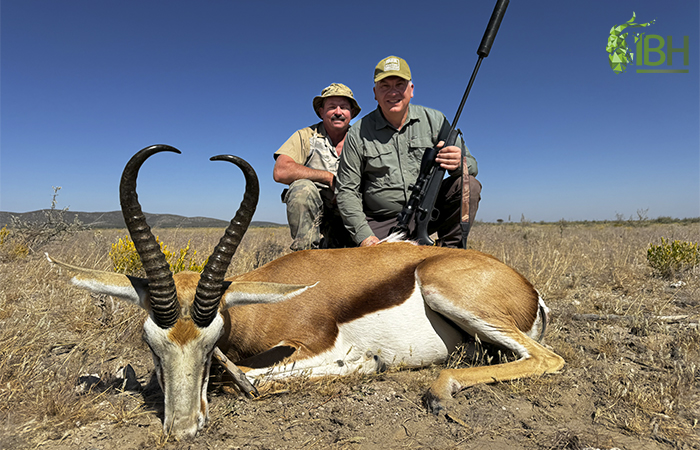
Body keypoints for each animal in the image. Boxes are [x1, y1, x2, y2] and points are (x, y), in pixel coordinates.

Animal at [47, 145, 564, 440]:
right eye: (151, 344)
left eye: (211, 344)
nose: (183, 429)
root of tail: (529, 289)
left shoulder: (317, 345)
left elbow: (250, 378)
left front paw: (366, 365)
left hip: (450, 294)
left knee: (550, 359)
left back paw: (439, 391)